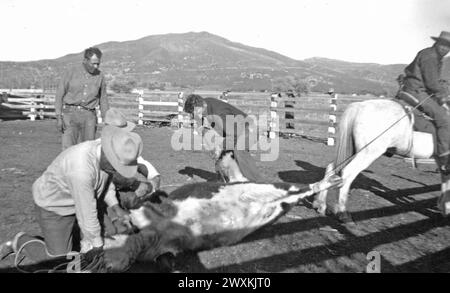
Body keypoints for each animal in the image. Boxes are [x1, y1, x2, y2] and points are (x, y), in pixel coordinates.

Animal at [101, 173, 342, 272]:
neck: (148, 235)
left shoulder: (148, 208)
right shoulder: (166, 251)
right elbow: (166, 263)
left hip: (267, 186)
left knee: (305, 187)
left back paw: (333, 180)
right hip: (278, 203)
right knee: (294, 196)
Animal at [312, 98, 450, 221]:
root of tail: (358, 106)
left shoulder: (441, 161)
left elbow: (445, 181)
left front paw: (444, 208)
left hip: (352, 151)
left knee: (331, 169)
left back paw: (321, 205)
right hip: (367, 153)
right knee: (347, 173)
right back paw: (343, 212)